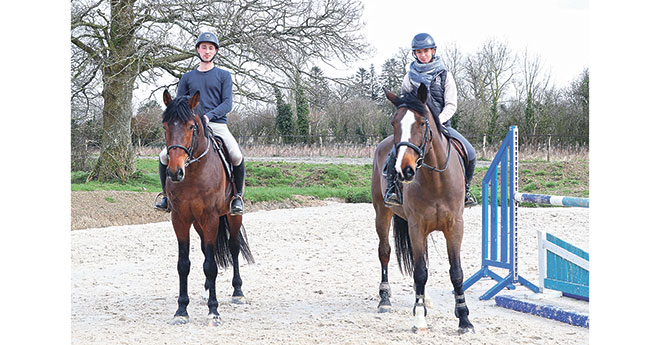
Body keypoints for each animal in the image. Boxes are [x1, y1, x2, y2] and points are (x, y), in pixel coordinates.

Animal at [161, 88, 254, 326]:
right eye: (165, 126)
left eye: (191, 127)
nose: (174, 172)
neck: (193, 171)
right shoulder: (180, 219)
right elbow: (184, 264)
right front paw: (181, 310)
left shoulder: (211, 217)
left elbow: (211, 265)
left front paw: (214, 311)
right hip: (198, 224)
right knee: (205, 250)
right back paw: (205, 291)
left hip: (231, 216)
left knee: (233, 248)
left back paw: (238, 292)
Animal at [372, 84, 474, 334]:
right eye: (394, 122)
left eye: (421, 122)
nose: (404, 170)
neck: (436, 180)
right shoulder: (416, 226)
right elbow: (419, 272)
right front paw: (419, 319)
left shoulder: (454, 227)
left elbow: (456, 272)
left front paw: (464, 319)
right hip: (382, 212)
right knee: (385, 252)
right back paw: (385, 300)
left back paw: (424, 300)